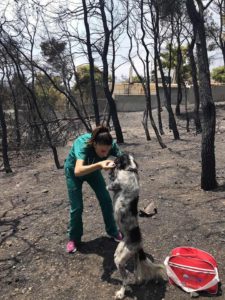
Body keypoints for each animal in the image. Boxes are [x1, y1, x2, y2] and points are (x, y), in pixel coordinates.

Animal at [107, 154, 167, 298]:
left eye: (118, 157)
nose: (112, 158)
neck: (131, 169)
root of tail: (140, 244)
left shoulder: (113, 185)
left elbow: (111, 181)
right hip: (125, 254)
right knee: (137, 275)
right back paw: (136, 283)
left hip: (120, 260)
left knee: (125, 279)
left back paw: (121, 293)